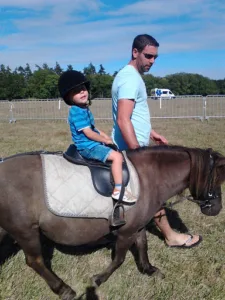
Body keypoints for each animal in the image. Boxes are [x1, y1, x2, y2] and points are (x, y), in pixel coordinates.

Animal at [0, 145, 225, 298]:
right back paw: (63, 289)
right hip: (25, 231)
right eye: (216, 179)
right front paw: (98, 279)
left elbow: (142, 247)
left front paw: (148, 269)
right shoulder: (126, 232)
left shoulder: (137, 226)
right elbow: (119, 258)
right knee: (35, 261)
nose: (216, 209)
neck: (147, 177)